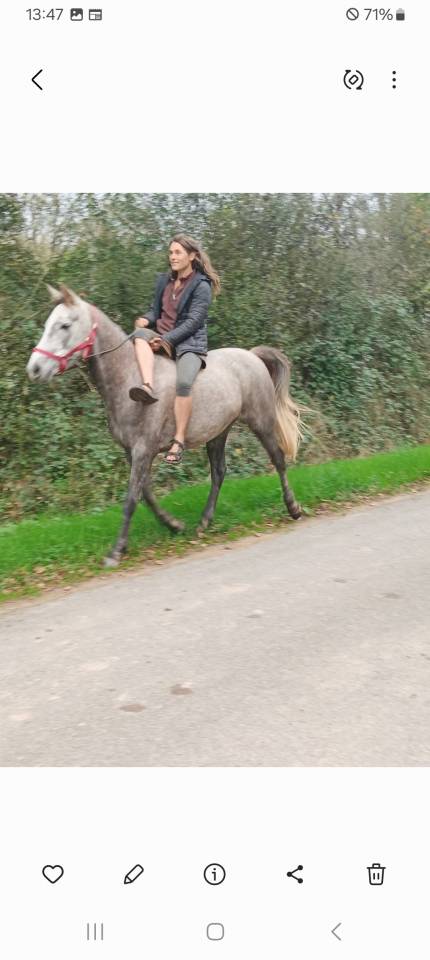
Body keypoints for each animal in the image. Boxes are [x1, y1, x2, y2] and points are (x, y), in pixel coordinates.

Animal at [26, 285, 303, 566]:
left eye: (64, 325)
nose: (34, 369)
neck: (130, 379)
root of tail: (253, 356)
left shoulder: (143, 449)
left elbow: (131, 499)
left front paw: (116, 552)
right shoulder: (133, 451)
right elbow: (146, 494)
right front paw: (174, 525)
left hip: (262, 422)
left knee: (278, 460)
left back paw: (293, 507)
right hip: (218, 432)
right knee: (219, 472)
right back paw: (204, 522)